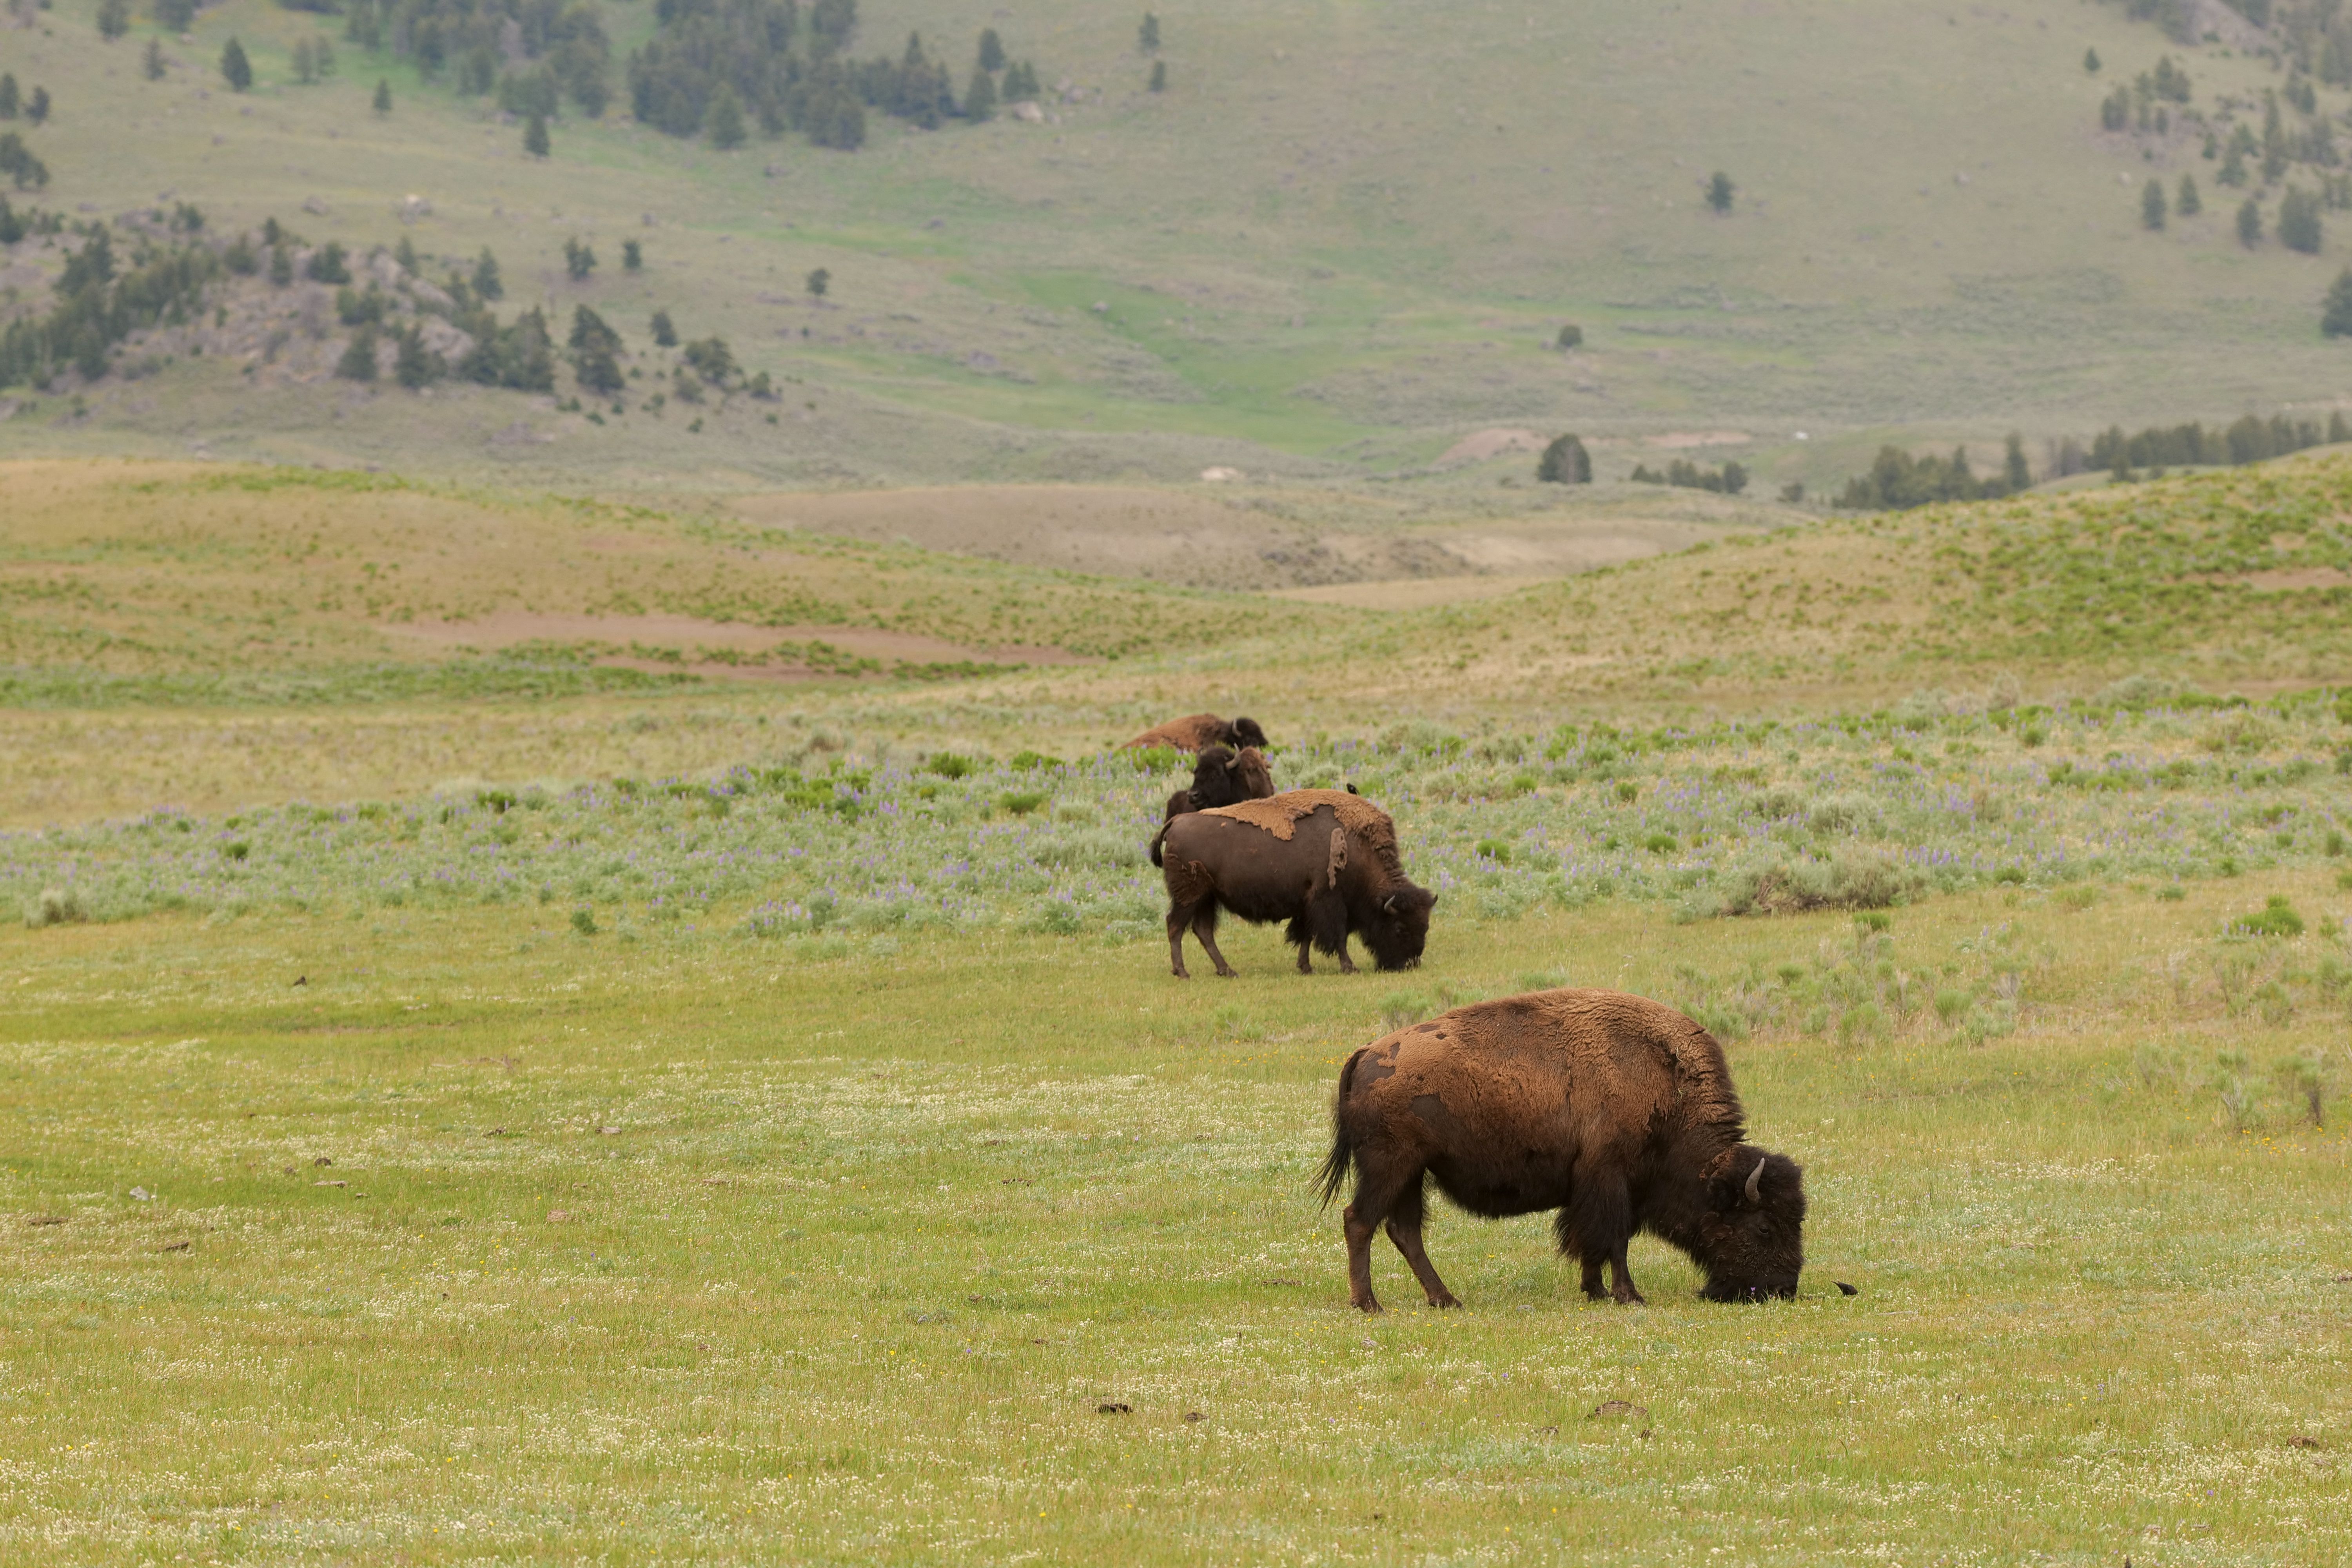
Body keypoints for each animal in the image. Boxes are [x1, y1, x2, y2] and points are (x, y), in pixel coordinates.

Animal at [1157, 789, 1435, 978]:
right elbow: (1338, 936)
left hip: (1207, 898)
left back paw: (1227, 971)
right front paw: (1350, 967)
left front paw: (1306, 967)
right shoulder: (1330, 901)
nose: (1408, 964)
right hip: (1190, 896)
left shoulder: (1308, 903)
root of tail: (1175, 822)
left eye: (1426, 927)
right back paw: (1183, 972)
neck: (1359, 847)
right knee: (1175, 926)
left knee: (1203, 931)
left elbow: (1306, 935)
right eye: (1399, 928)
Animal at [1317, 988, 1806, 1312]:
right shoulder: (1612, 1178)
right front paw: (1629, 1295)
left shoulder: (1598, 1186)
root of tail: (1366, 1053)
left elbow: (1595, 1239)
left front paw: (1595, 1290)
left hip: (1412, 1172)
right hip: (1390, 1166)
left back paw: (1445, 1299)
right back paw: (1369, 1303)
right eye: (1764, 1227)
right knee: (1360, 1221)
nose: (1783, 1288)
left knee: (1405, 1231)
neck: (1668, 1084)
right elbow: (1614, 1239)